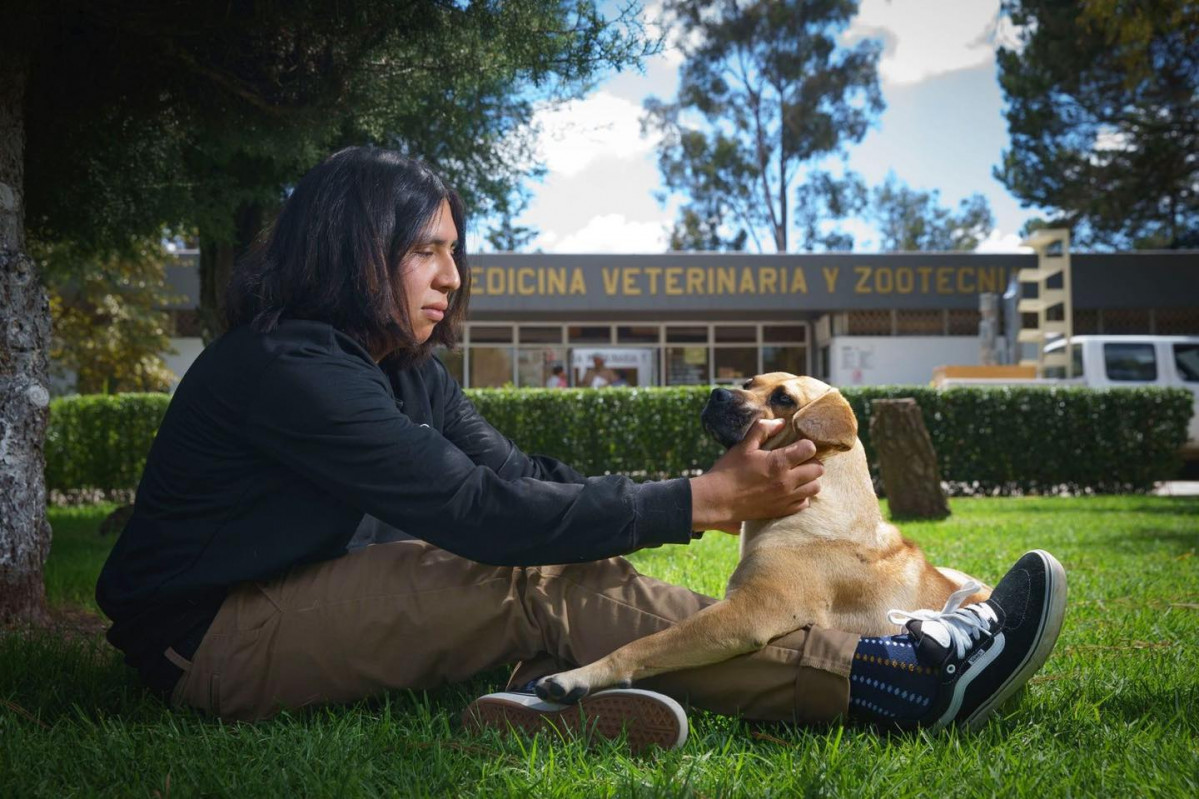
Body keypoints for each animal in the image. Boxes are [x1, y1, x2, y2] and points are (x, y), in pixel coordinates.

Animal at [539, 369, 987, 700]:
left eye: (784, 399)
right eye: (750, 382)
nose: (716, 393)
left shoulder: (751, 611)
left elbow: (646, 642)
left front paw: (578, 676)